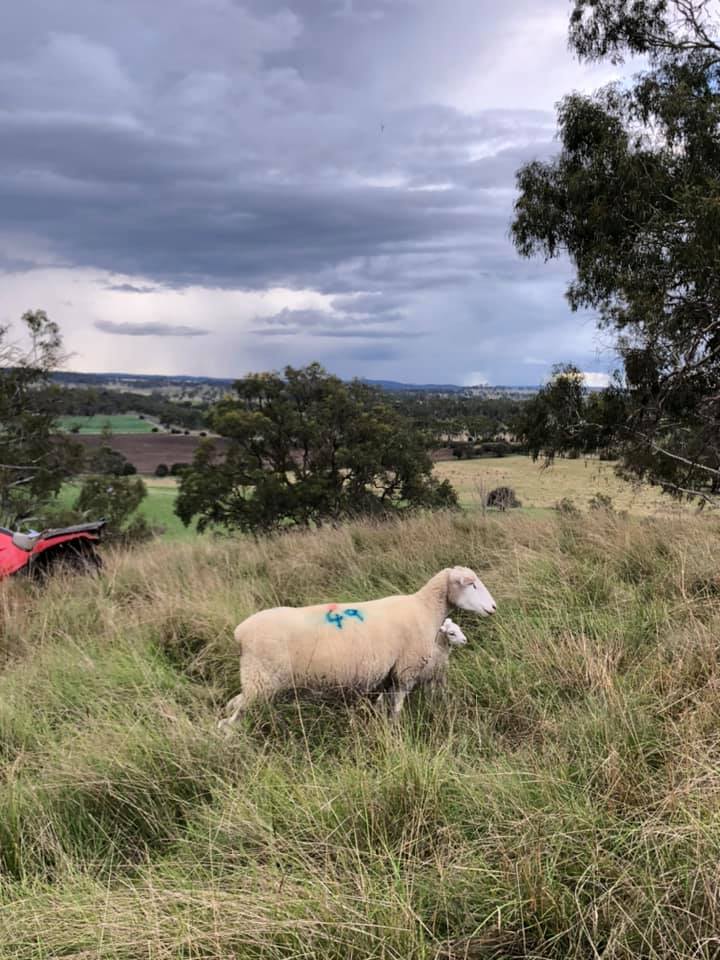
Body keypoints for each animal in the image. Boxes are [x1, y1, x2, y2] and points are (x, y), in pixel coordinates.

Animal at [218, 566, 495, 733]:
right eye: (472, 585)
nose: (493, 607)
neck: (425, 609)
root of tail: (240, 633)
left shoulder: (387, 676)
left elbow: (382, 705)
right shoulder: (405, 670)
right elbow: (397, 707)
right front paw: (396, 729)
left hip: (257, 682)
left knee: (233, 707)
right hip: (261, 681)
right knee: (228, 724)